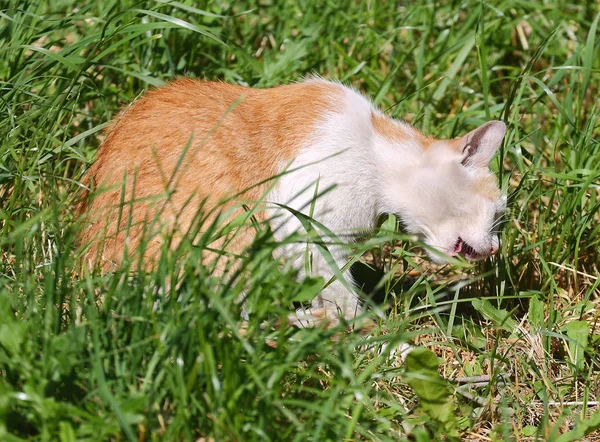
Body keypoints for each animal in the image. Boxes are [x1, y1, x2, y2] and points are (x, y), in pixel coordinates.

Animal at [76, 78, 506, 328]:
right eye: (496, 210)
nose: (496, 246)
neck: (375, 150)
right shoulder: (306, 222)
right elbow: (340, 293)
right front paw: (375, 337)